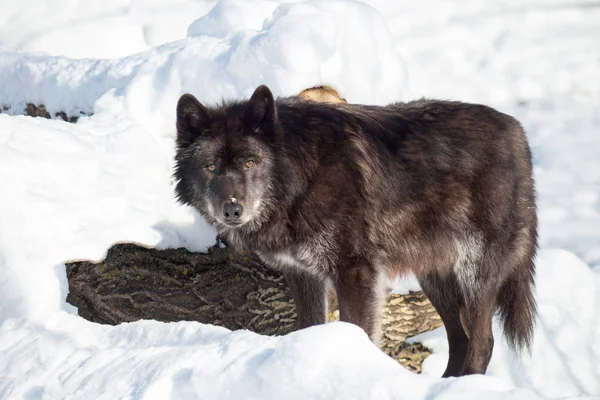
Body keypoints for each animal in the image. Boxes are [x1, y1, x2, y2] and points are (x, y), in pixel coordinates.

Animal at [175, 86, 540, 376]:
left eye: (250, 163)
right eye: (210, 167)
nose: (232, 209)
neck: (303, 177)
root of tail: (517, 131)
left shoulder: (355, 272)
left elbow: (358, 330)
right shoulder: (303, 275)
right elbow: (310, 326)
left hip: (475, 273)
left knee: (482, 342)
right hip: (435, 278)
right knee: (460, 340)